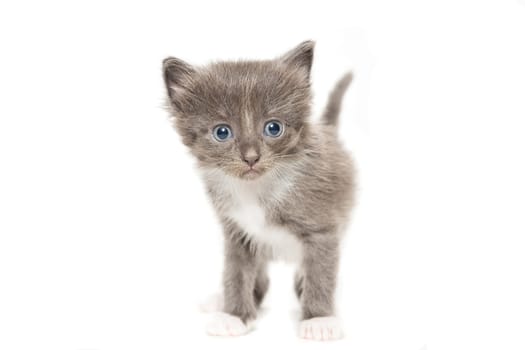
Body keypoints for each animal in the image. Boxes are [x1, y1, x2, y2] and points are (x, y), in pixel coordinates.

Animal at [162, 40, 354, 340]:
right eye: (222, 132)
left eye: (273, 128)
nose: (251, 157)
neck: (257, 190)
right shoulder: (237, 232)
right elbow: (236, 273)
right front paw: (234, 315)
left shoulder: (323, 230)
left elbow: (321, 273)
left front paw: (319, 319)